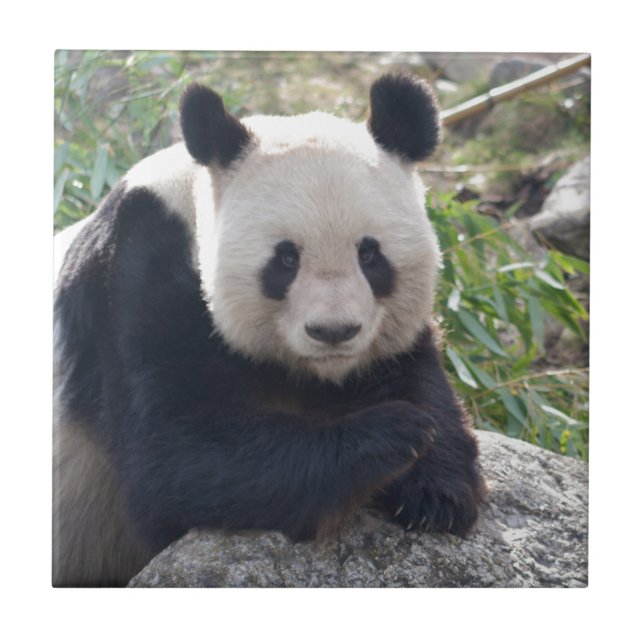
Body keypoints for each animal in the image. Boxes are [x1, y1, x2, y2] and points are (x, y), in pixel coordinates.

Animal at [53, 73, 486, 587]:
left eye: (370, 254)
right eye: (285, 259)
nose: (334, 331)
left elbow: (409, 370)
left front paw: (436, 491)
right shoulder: (132, 279)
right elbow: (176, 457)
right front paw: (395, 431)